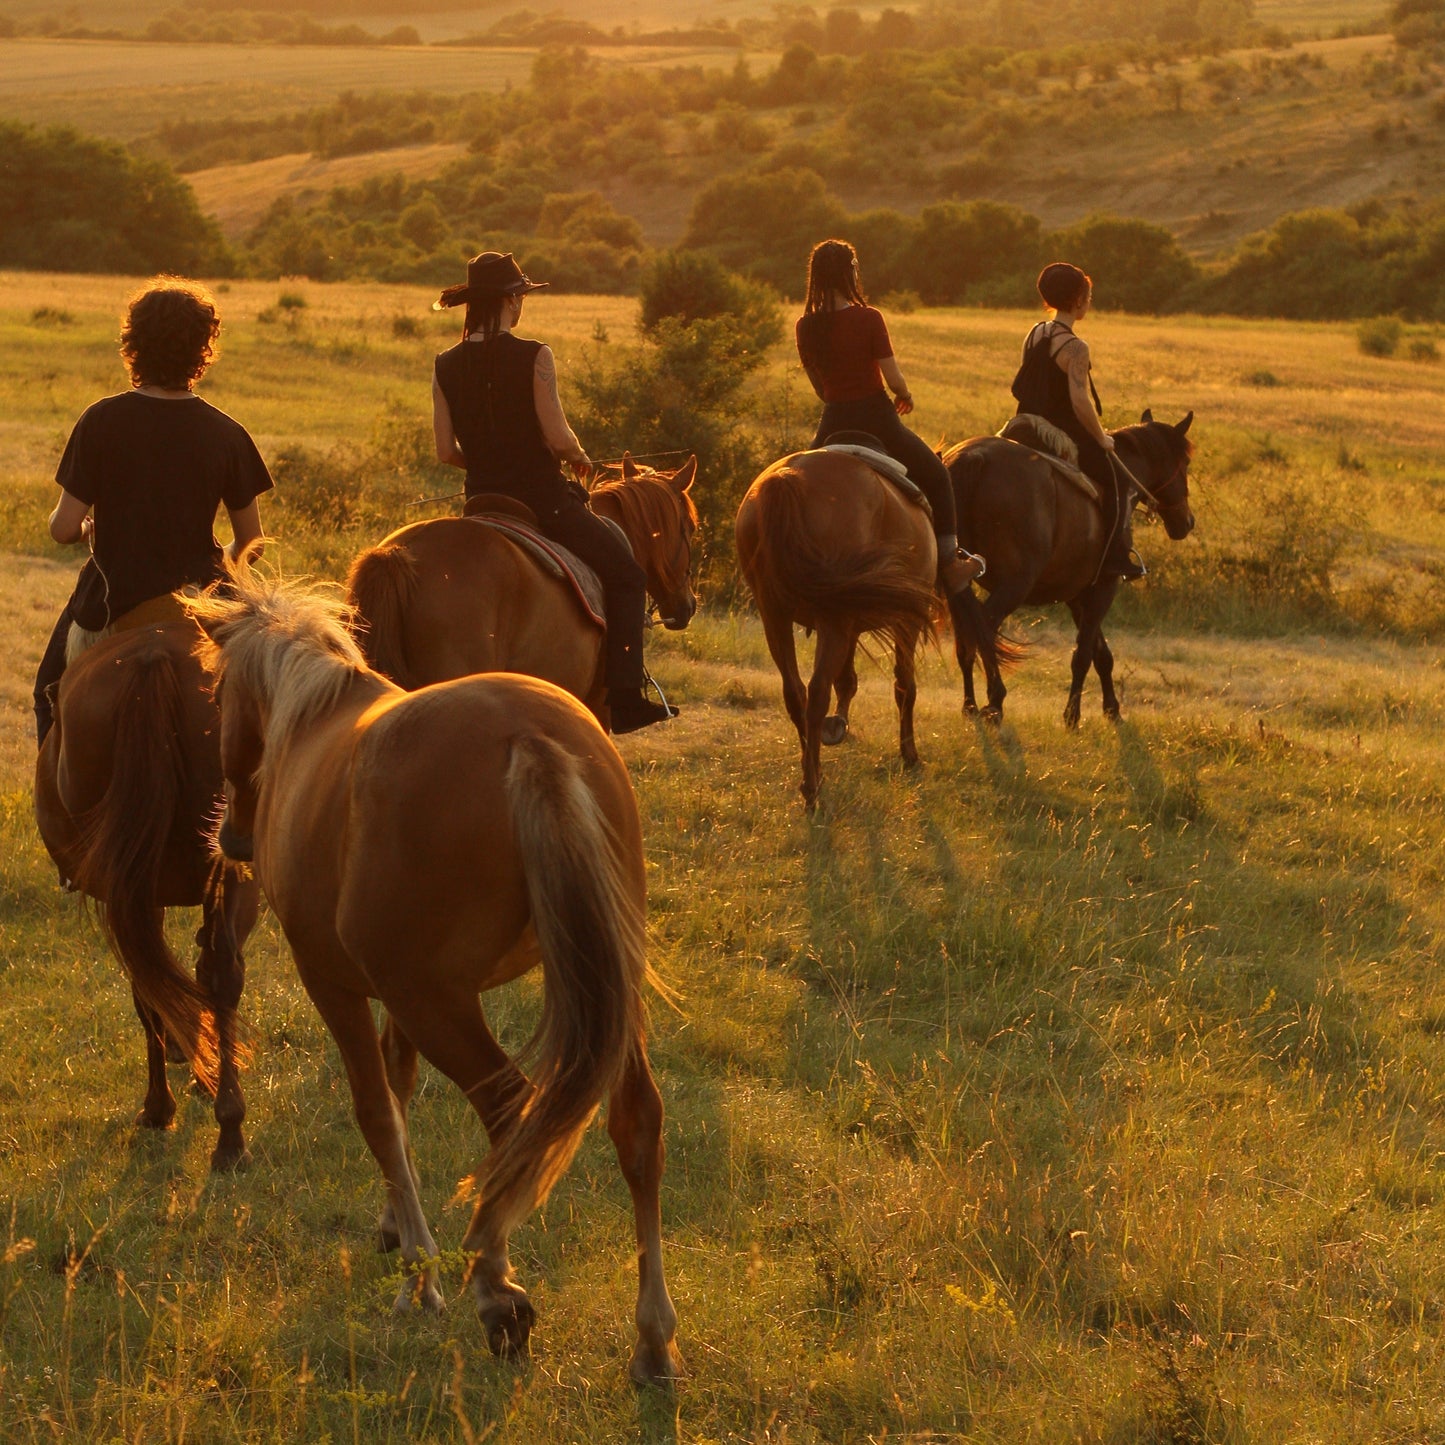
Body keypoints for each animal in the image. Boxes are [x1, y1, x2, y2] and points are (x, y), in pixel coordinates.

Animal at [187, 569, 682, 1384]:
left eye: (217, 694)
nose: (230, 836)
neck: (312, 718)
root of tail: (529, 737)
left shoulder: (341, 984)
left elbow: (377, 1110)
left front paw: (420, 1273)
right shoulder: (395, 993)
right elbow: (400, 1085)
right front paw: (397, 1227)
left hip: (442, 1004)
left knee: (510, 1113)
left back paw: (496, 1289)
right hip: (602, 984)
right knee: (635, 1121)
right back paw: (652, 1338)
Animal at [736, 450, 937, 809]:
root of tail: (788, 477)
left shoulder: (850, 624)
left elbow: (847, 680)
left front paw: (839, 725)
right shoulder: (906, 621)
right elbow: (905, 685)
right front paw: (909, 753)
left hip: (776, 616)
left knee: (796, 694)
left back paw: (812, 772)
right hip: (832, 619)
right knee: (816, 692)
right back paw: (812, 789)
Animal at [945, 409, 1196, 728]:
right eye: (1185, 463)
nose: (1187, 522)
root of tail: (974, 458)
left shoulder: (1078, 594)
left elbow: (1102, 654)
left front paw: (1112, 710)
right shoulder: (1105, 586)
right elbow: (1084, 653)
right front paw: (1073, 716)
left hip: (957, 584)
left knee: (965, 639)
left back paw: (970, 706)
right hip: (1014, 585)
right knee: (984, 628)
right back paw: (995, 702)